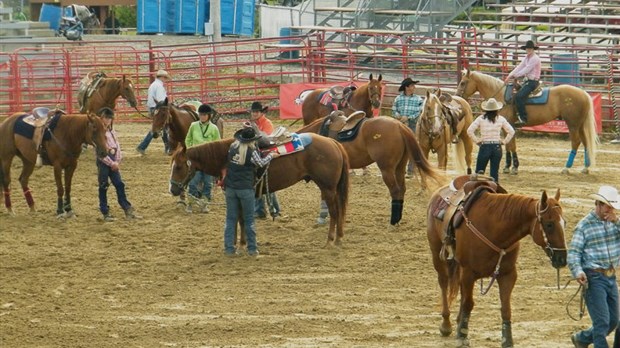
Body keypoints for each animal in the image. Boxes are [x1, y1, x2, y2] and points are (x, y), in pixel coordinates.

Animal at [170, 136, 352, 247]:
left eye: (178, 166)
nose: (173, 189)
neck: (226, 157)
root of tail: (333, 142)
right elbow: (239, 219)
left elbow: (241, 219)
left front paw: (242, 243)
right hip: (333, 189)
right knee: (340, 211)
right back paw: (339, 238)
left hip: (327, 188)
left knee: (335, 212)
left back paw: (330, 240)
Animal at [298, 113, 444, 224]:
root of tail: (399, 126)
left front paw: (323, 217)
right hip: (399, 167)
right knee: (402, 189)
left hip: (387, 169)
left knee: (395, 191)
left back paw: (393, 221)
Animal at [426, 186, 568, 348]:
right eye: (549, 224)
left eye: (564, 223)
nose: (562, 258)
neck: (493, 229)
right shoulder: (468, 272)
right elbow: (468, 303)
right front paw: (462, 336)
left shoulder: (507, 274)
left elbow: (505, 308)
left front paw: (507, 340)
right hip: (437, 253)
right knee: (444, 282)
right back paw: (446, 324)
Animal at [458, 68, 600, 175]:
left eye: (463, 82)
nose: (458, 96)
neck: (501, 97)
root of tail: (583, 93)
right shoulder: (506, 126)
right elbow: (509, 145)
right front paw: (508, 166)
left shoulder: (509, 124)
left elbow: (512, 145)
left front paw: (514, 167)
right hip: (580, 125)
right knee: (586, 142)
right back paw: (585, 168)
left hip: (573, 124)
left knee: (576, 142)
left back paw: (566, 168)